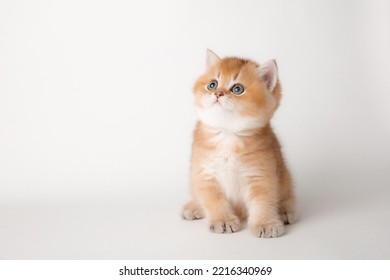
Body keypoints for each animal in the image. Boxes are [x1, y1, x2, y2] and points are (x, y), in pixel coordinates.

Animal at [182, 49, 296, 237]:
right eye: (212, 84)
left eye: (237, 89)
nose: (218, 93)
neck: (228, 135)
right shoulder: (204, 175)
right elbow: (213, 200)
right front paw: (222, 220)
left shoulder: (261, 175)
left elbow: (263, 201)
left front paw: (266, 223)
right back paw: (194, 207)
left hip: (285, 176)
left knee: (287, 196)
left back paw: (285, 211)